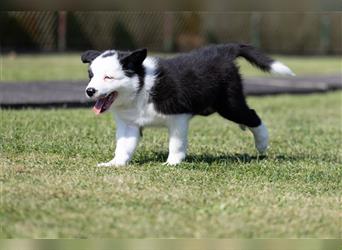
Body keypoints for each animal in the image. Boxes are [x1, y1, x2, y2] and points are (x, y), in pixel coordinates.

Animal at [81, 44, 294, 167]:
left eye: (108, 77)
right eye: (91, 75)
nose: (89, 91)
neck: (141, 87)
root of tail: (223, 52)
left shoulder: (178, 116)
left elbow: (176, 143)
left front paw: (172, 163)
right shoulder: (129, 123)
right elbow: (124, 146)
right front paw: (114, 163)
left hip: (228, 103)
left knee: (252, 115)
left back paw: (262, 142)